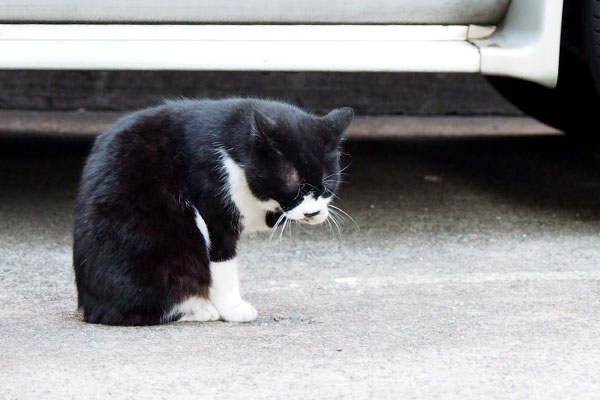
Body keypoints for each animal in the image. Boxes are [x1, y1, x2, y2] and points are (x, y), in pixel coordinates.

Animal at [71, 98, 352, 326]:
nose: (312, 212)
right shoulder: (213, 204)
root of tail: (91, 309)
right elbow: (222, 262)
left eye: (326, 183)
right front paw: (233, 308)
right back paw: (200, 309)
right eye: (292, 185)